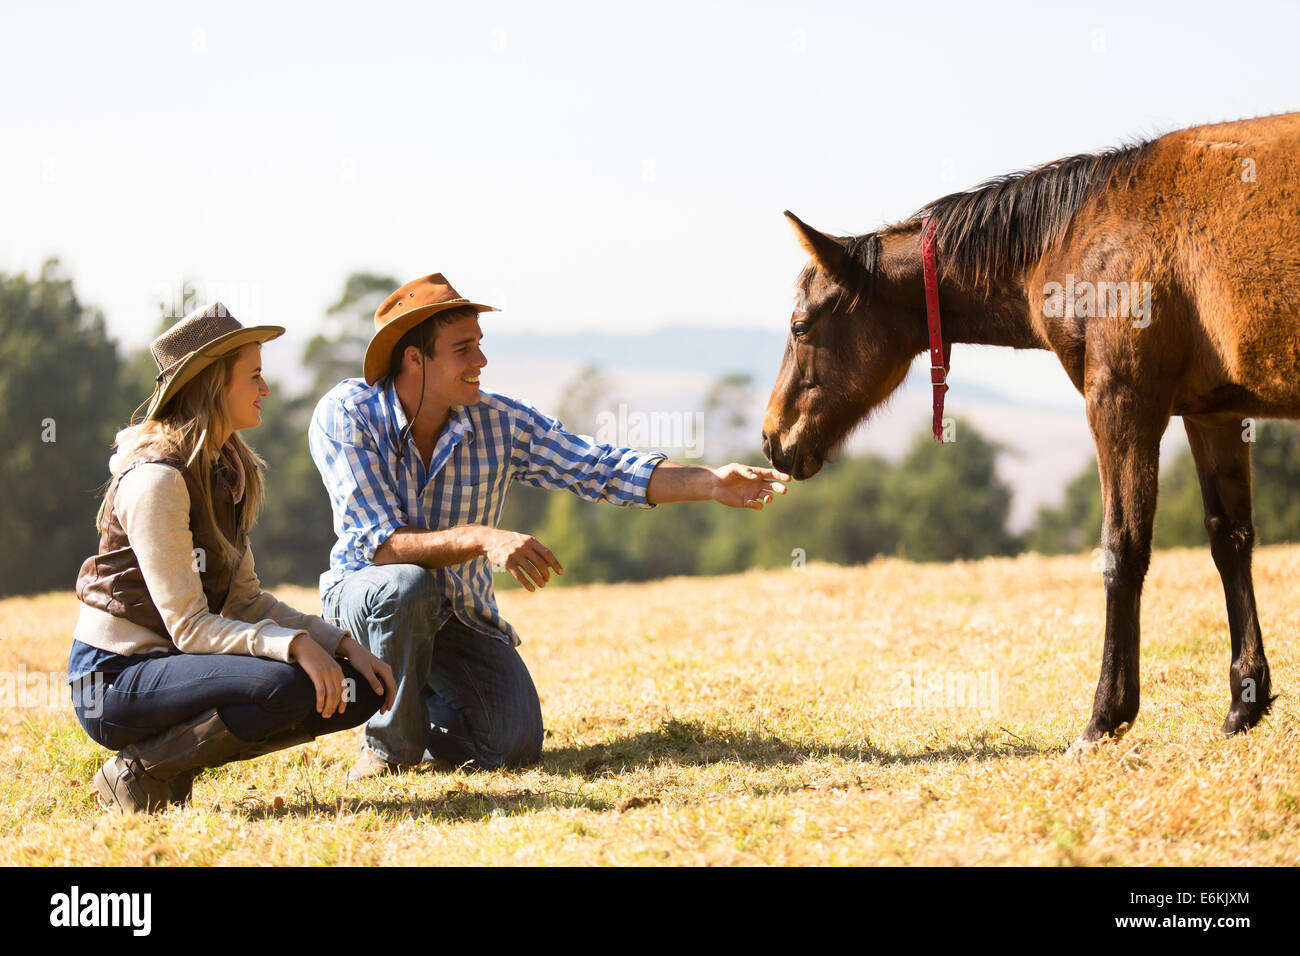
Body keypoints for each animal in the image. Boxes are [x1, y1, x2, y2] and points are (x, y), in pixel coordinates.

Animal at [759, 111, 1300, 749]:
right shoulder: (1212, 414)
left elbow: (1123, 549)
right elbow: (1229, 539)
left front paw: (1105, 716)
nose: (772, 437)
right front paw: (1245, 701)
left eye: (801, 326)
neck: (1081, 234)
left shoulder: (1122, 401)